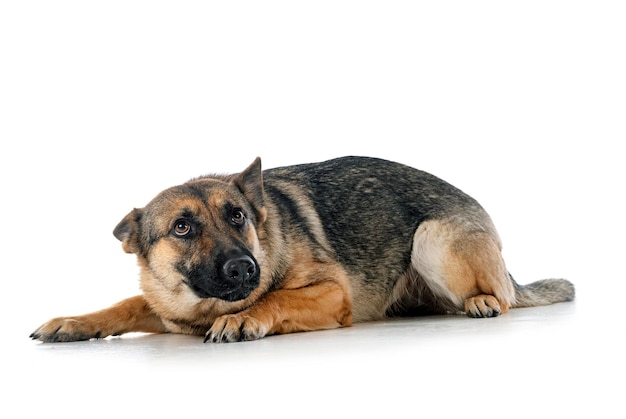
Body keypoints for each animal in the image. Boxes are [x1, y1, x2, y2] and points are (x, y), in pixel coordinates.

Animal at [30, 156, 576, 342]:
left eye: (237, 216)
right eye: (182, 227)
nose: (243, 267)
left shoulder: (332, 294)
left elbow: (276, 297)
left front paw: (244, 318)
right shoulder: (167, 310)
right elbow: (126, 303)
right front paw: (74, 322)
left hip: (431, 240)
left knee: (503, 296)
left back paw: (484, 300)